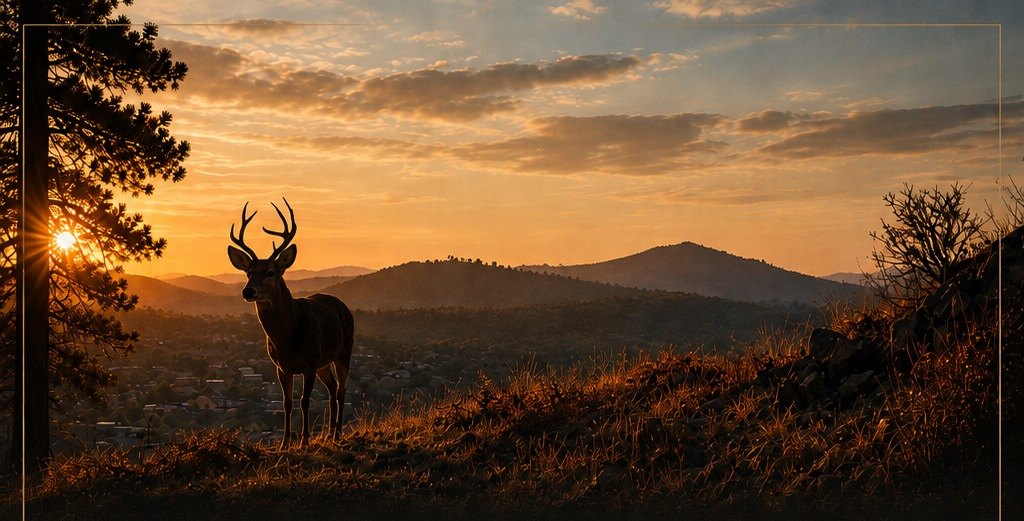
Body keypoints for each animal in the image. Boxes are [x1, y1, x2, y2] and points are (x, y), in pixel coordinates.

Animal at [226, 199, 354, 449]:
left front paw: (304, 440)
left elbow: (305, 401)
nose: (248, 291)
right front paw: (284, 442)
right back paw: (327, 433)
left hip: (344, 350)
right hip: (325, 362)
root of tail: (343, 306)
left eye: (270, 272)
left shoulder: (310, 362)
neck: (287, 339)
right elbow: (287, 402)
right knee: (333, 388)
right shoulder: (281, 367)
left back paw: (337, 434)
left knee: (341, 390)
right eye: (248, 272)